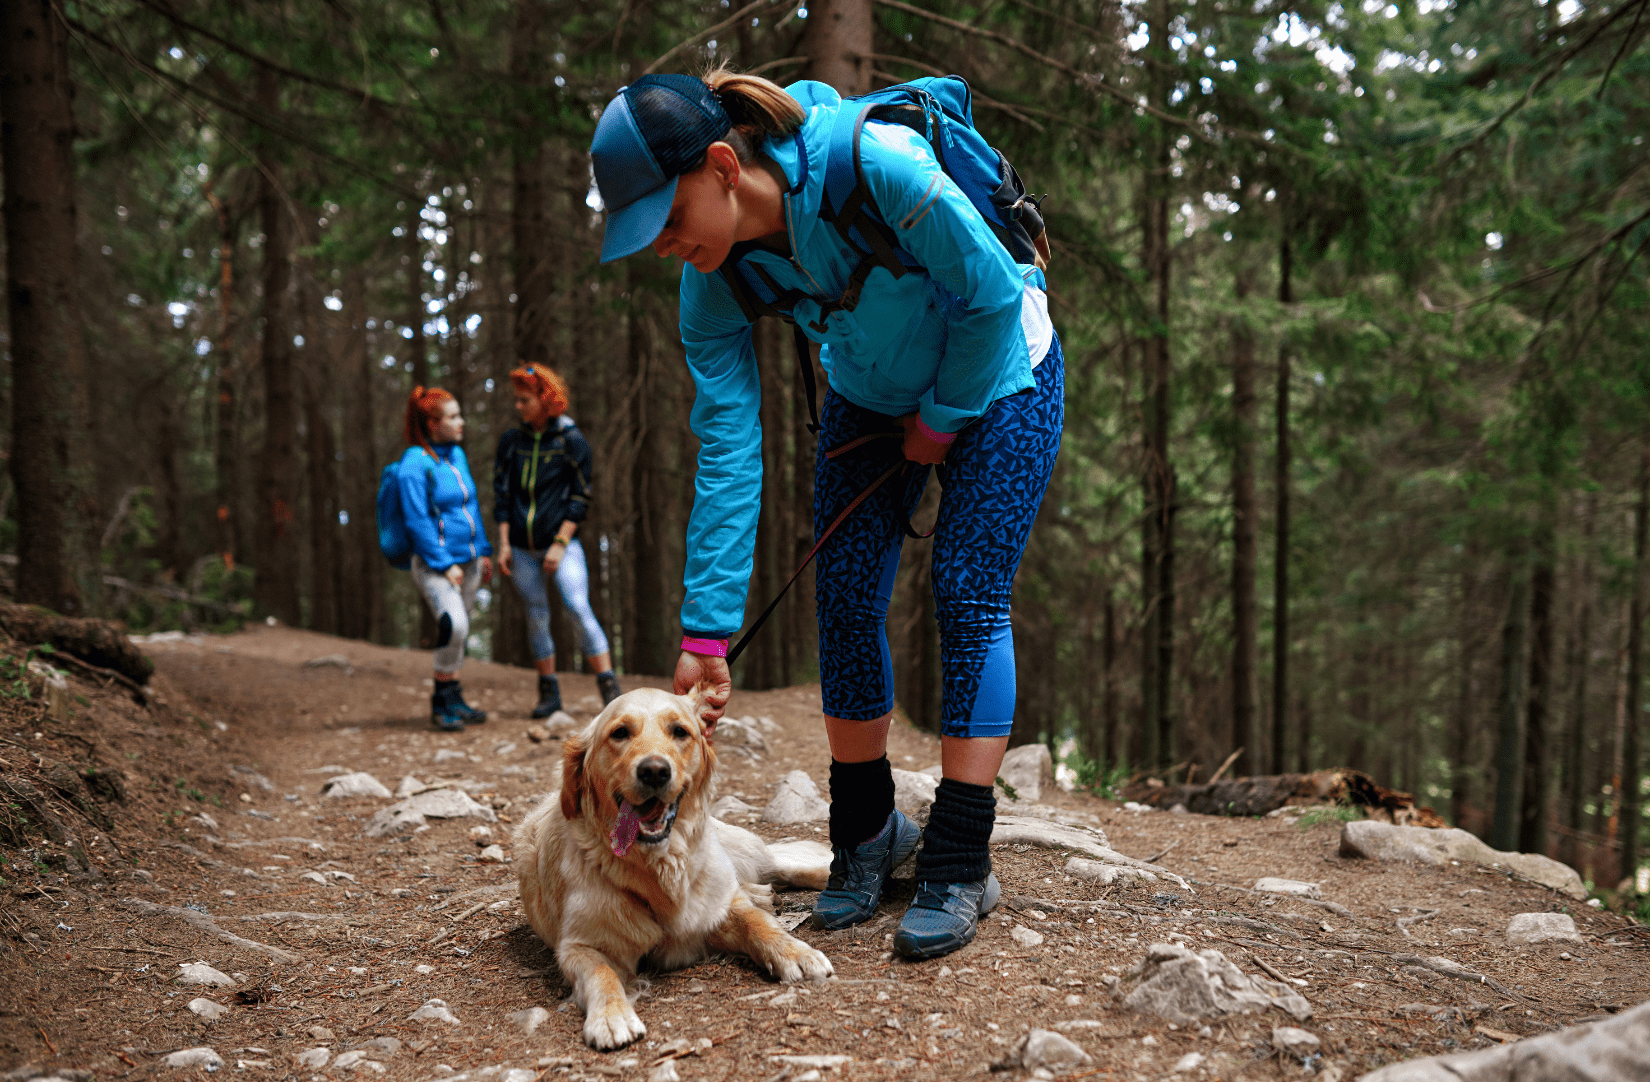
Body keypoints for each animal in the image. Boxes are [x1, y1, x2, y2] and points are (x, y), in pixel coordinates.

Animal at [518, 689, 838, 1055]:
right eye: (620, 733)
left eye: (680, 731)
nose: (655, 771)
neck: (659, 868)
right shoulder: (577, 946)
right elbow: (600, 972)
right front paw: (611, 1016)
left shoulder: (714, 910)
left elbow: (758, 924)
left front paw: (795, 952)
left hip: (740, 852)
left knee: (785, 865)